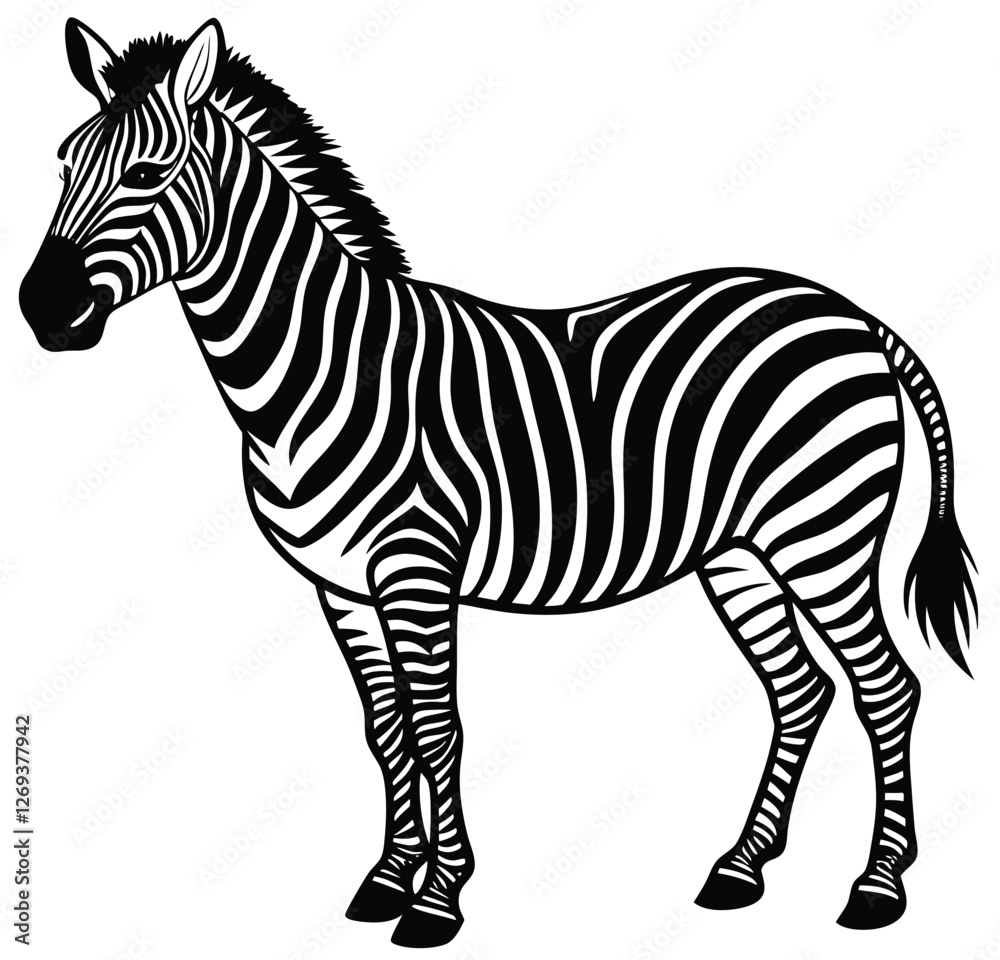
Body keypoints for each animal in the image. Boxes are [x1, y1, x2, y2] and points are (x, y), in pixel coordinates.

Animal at [19, 18, 978, 948]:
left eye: (147, 172)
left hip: (824, 536)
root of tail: (850, 314)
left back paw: (877, 888)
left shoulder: (415, 569)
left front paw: (439, 900)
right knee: (801, 691)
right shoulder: (342, 587)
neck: (315, 370)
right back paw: (741, 869)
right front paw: (386, 879)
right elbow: (387, 729)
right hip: (740, 554)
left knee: (886, 689)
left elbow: (438, 727)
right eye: (63, 161)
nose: (40, 310)